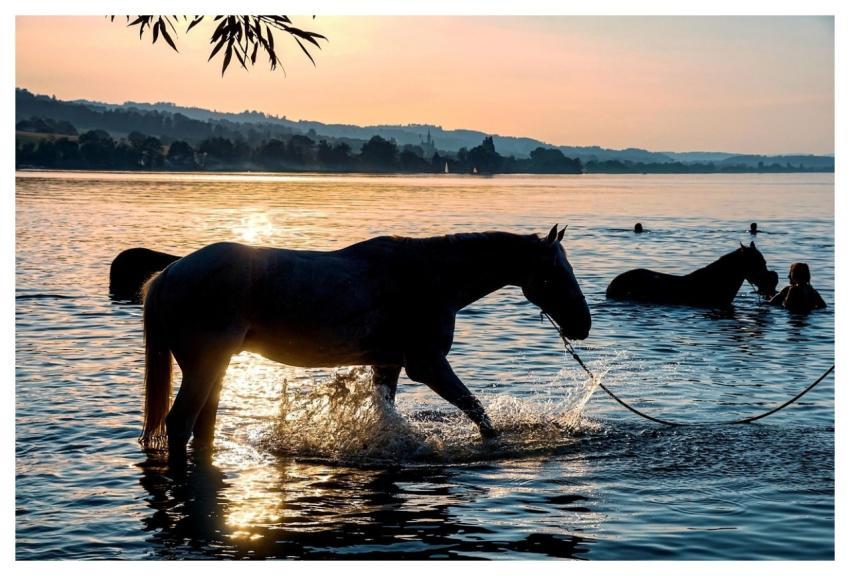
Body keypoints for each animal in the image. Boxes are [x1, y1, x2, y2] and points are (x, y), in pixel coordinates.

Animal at [140, 225, 592, 459]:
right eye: (554, 275)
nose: (583, 325)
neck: (430, 278)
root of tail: (169, 274)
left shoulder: (388, 364)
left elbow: (386, 413)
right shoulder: (428, 365)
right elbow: (477, 412)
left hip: (214, 367)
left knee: (200, 426)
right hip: (205, 365)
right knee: (179, 424)